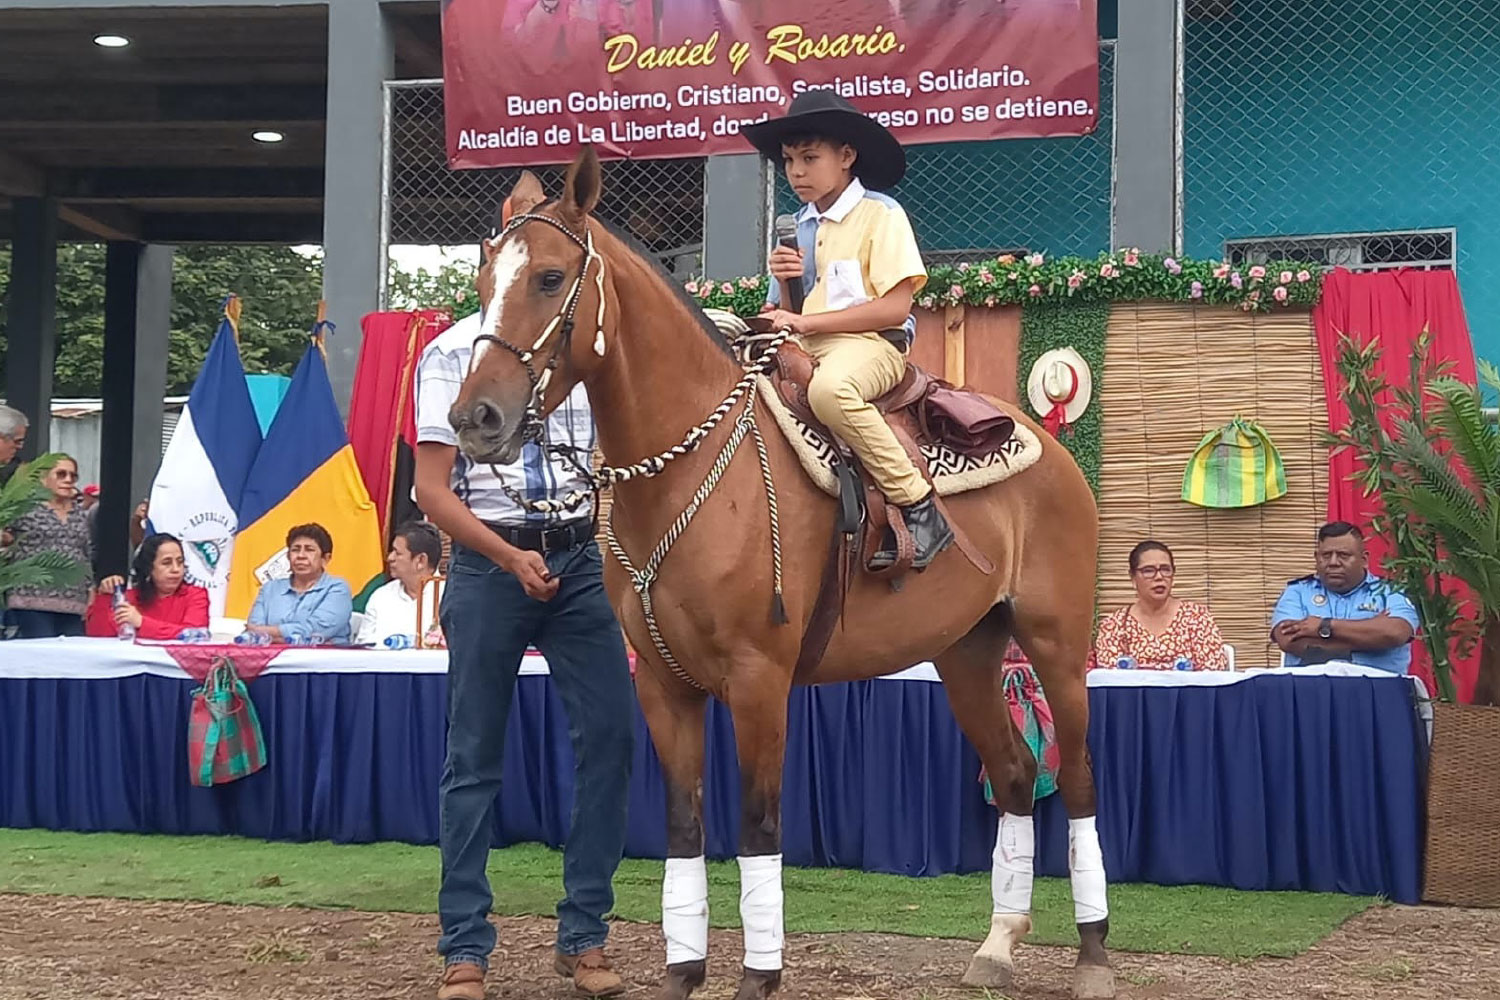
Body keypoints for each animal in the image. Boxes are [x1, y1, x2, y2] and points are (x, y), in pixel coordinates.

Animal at [444, 148, 1116, 1000]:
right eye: (481, 279)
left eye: (551, 276)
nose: (475, 419)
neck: (686, 469)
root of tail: (1047, 446)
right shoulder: (662, 684)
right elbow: (685, 825)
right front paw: (683, 971)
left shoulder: (759, 678)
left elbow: (759, 824)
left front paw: (758, 975)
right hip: (966, 650)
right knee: (1015, 771)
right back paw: (997, 945)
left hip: (1056, 643)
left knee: (1082, 778)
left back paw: (1093, 956)